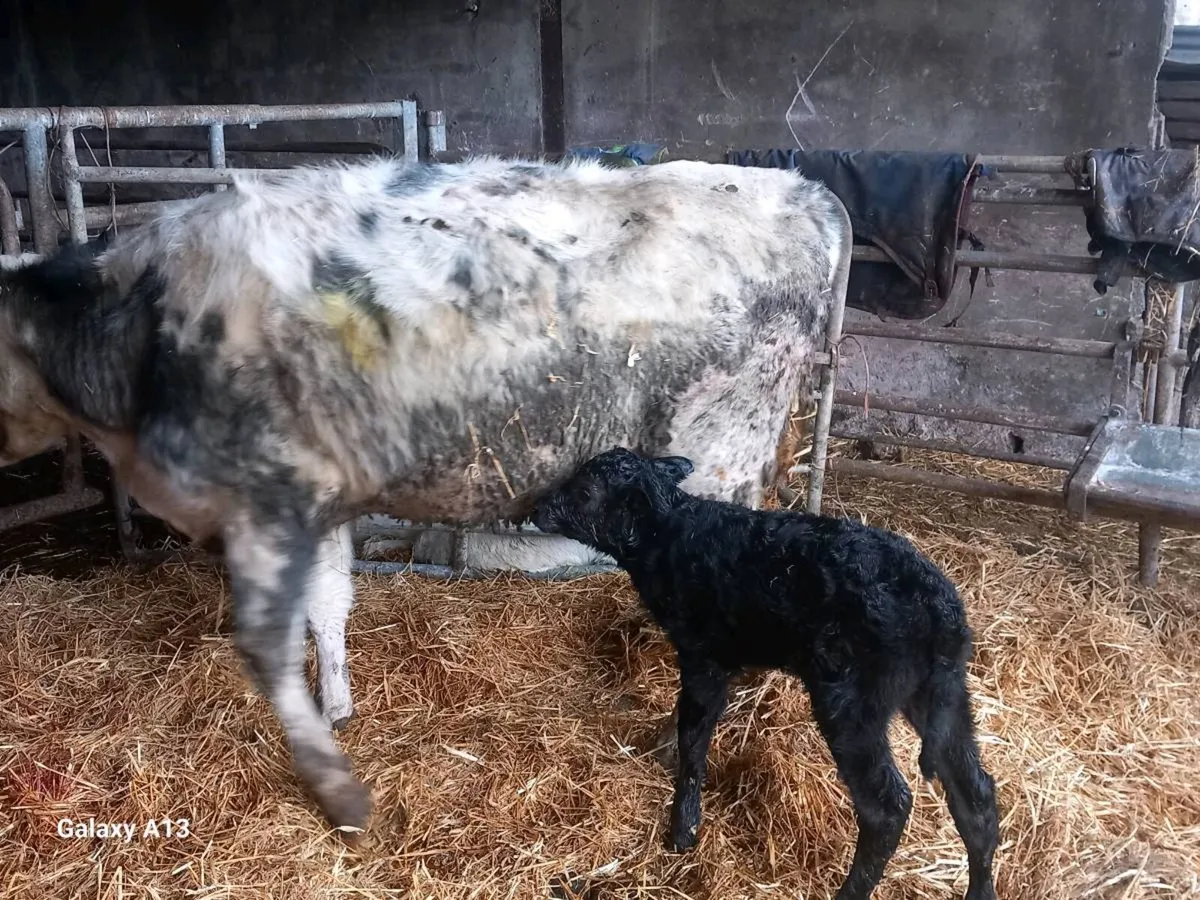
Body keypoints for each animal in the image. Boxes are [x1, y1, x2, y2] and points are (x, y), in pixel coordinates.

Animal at [0, 154, 851, 835]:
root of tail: (803, 191)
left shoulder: (268, 501)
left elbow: (277, 640)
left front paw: (328, 768)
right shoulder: (316, 500)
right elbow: (329, 604)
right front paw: (338, 703)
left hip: (723, 446)